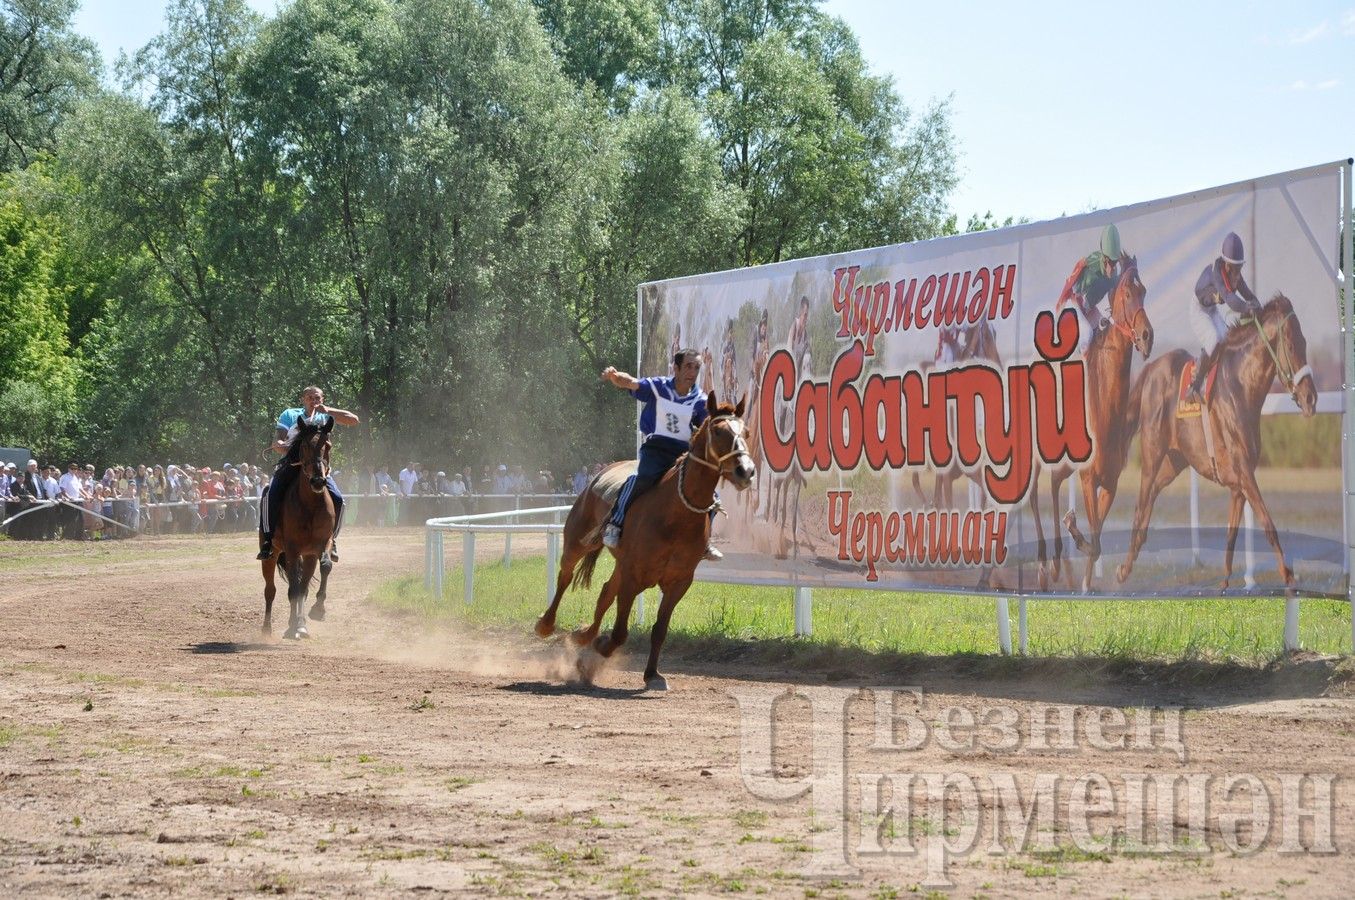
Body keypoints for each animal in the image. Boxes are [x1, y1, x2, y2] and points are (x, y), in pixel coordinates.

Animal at [260, 417, 334, 639]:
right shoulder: (292, 549)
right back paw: (267, 628)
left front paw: (315, 612)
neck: (310, 505)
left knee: (302, 586)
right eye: (304, 446)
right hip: (272, 554)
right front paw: (294, 625)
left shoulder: (320, 545)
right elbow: (293, 589)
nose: (318, 480)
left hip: (307, 556)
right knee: (271, 590)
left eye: (328, 445)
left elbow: (324, 568)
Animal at [533, 393, 758, 688]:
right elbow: (619, 633)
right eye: (719, 431)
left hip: (620, 563)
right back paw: (547, 624)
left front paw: (651, 674)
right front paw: (601, 645)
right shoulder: (633, 577)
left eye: (746, 432)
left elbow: (659, 630)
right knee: (565, 577)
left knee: (605, 593)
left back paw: (582, 636)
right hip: (578, 542)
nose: (746, 471)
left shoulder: (678, 582)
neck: (676, 513)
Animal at [1040, 253, 1149, 590]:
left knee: (1053, 483)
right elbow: (1095, 540)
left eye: (1144, 292)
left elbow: (1099, 534)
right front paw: (1075, 531)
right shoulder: (1088, 478)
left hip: (1064, 464)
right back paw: (1048, 563)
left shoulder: (1109, 481)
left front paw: (1087, 582)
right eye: (1127, 294)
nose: (1147, 336)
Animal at [1111, 294, 1311, 590]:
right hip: (1152, 453)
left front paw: (1225, 582)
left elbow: (1231, 536)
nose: (1311, 398)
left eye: (1305, 342)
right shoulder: (1245, 473)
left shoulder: (1239, 483)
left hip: (1175, 461)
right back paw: (1123, 569)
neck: (1241, 388)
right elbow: (1267, 524)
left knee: (1150, 499)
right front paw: (1288, 576)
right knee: (1140, 504)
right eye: (1291, 344)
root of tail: (1150, 369)